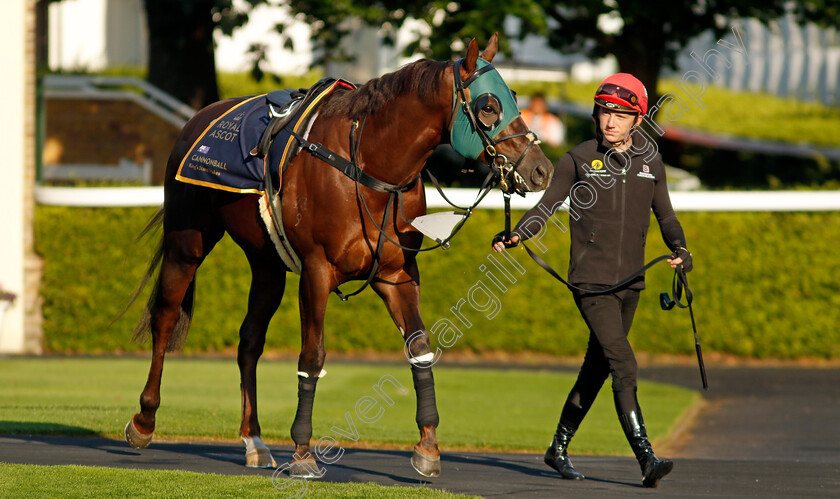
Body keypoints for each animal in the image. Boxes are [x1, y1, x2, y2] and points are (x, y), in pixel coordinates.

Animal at [121, 33, 556, 478]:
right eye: (488, 106)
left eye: (514, 97)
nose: (541, 170)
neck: (367, 167)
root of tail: (201, 117)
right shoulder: (316, 271)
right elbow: (312, 355)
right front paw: (302, 452)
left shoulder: (397, 274)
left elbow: (419, 347)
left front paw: (428, 447)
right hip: (188, 241)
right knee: (165, 318)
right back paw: (144, 420)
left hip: (266, 264)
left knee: (249, 341)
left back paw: (254, 440)